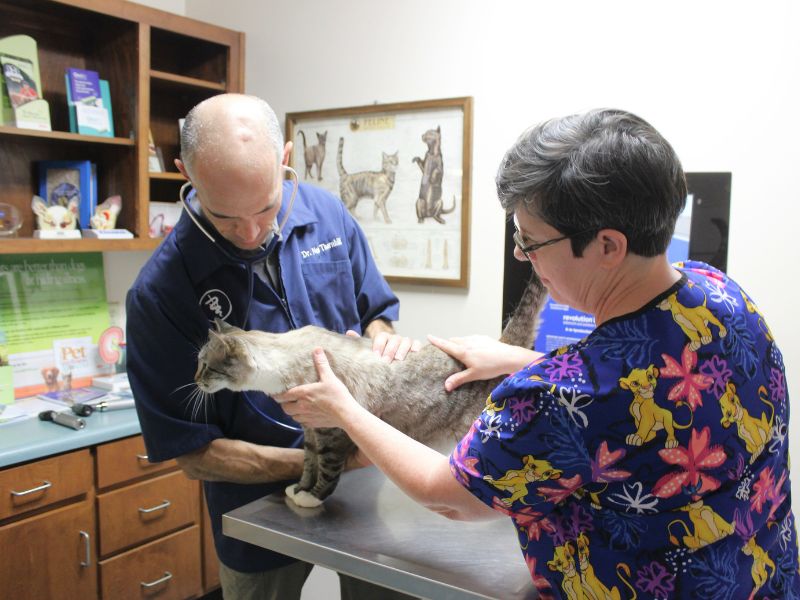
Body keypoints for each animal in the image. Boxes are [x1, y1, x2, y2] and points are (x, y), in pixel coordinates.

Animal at [195, 276, 544, 506]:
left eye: (206, 366)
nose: (196, 380)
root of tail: (500, 344)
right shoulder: (309, 427)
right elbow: (308, 462)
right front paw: (299, 490)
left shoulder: (331, 428)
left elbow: (326, 467)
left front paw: (313, 498)